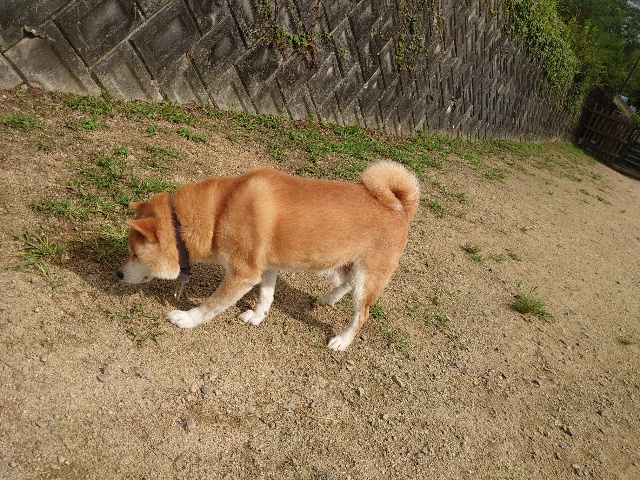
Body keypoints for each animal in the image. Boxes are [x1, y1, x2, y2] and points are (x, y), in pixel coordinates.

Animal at [117, 161, 419, 351]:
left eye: (134, 253)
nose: (118, 273)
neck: (218, 213)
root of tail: (403, 208)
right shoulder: (266, 266)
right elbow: (266, 295)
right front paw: (257, 316)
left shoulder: (242, 274)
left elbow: (211, 305)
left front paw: (187, 319)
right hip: (344, 267)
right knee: (345, 283)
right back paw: (328, 299)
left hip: (368, 279)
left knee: (361, 314)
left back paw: (342, 341)